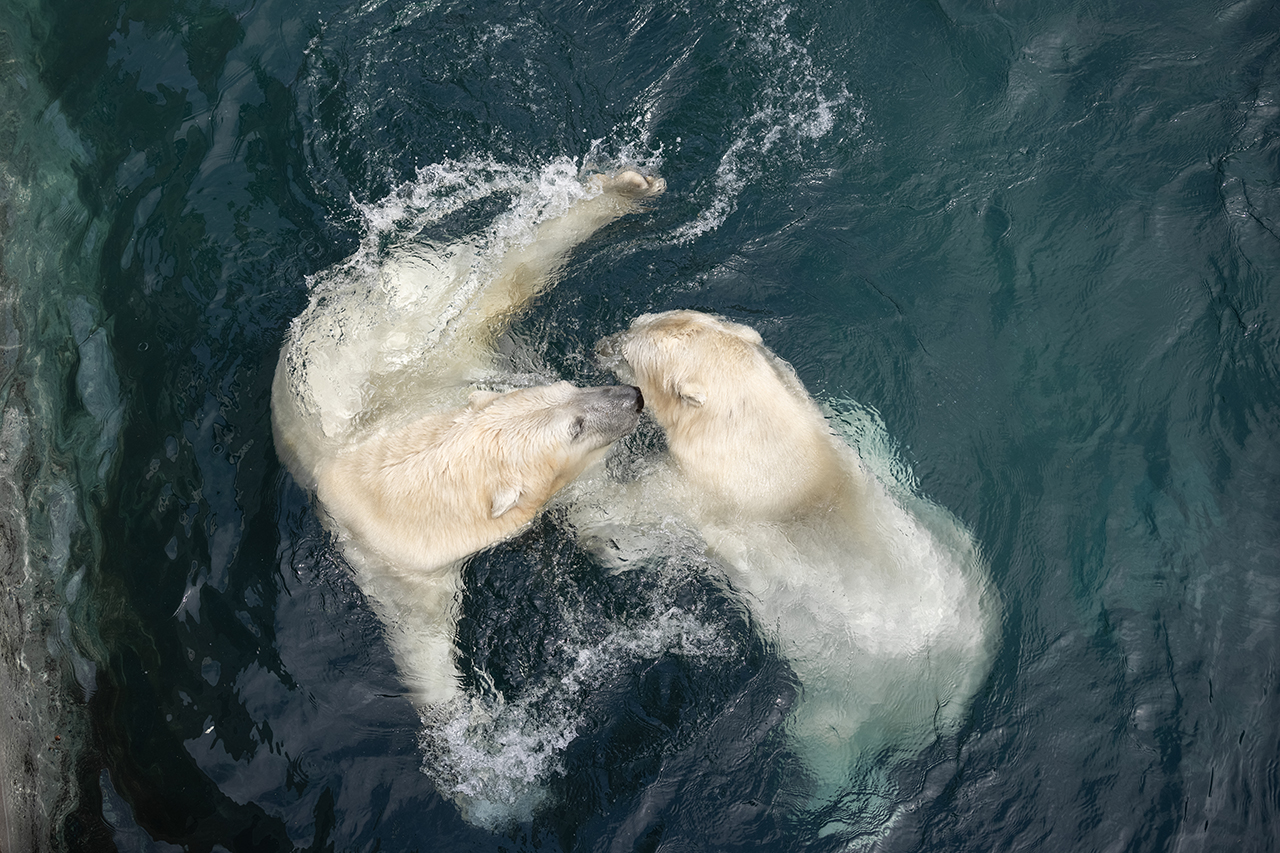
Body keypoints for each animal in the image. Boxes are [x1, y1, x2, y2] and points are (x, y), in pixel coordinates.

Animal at [273, 166, 665, 701]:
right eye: (575, 427)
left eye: (568, 388)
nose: (632, 397)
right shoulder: (394, 566)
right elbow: (420, 645)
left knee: (507, 278)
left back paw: (628, 187)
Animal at [591, 308, 998, 799]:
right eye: (638, 321)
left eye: (631, 355)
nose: (598, 346)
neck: (769, 444)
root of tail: (960, 694)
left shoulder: (698, 496)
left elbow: (628, 523)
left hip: (854, 699)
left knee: (824, 743)